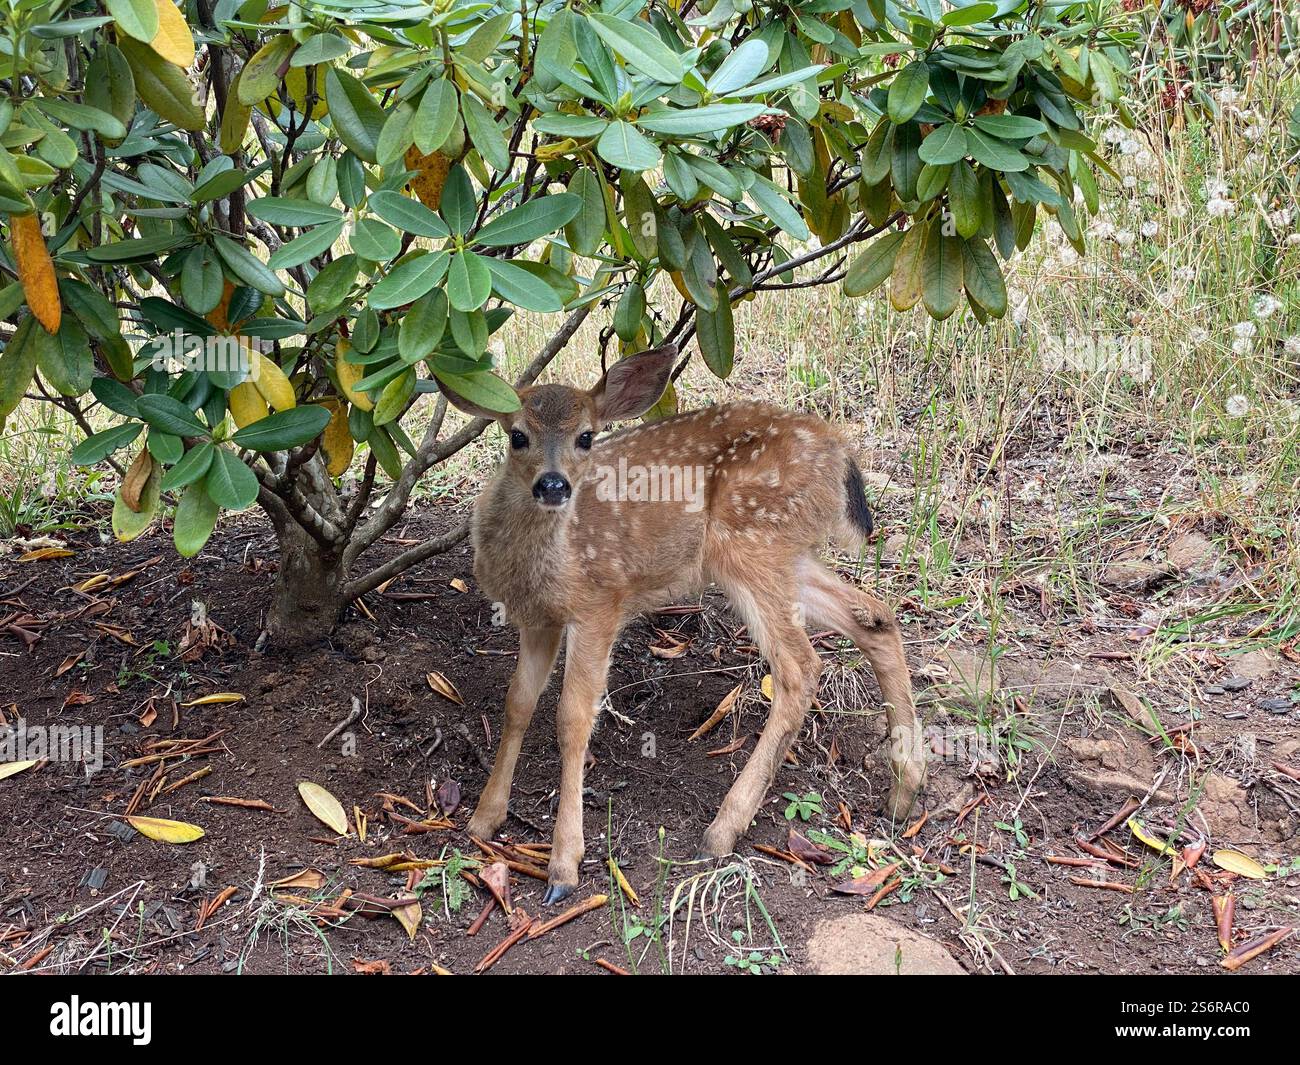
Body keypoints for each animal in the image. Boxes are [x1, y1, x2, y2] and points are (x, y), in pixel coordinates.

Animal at [439, 344, 925, 904]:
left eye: (586, 436)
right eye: (517, 434)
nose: (554, 485)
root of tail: (842, 454)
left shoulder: (598, 604)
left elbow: (572, 719)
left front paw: (564, 865)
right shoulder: (538, 619)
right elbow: (517, 703)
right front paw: (483, 819)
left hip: (748, 542)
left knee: (800, 666)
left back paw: (722, 829)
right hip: (788, 554)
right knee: (876, 616)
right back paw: (904, 790)